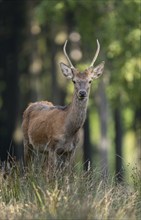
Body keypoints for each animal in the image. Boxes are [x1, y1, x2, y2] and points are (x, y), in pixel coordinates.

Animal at [21, 39, 104, 177]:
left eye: (90, 81)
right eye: (74, 81)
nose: (82, 93)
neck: (69, 131)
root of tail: (30, 104)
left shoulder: (71, 151)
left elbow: (67, 176)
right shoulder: (52, 147)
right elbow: (52, 176)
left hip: (43, 152)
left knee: (42, 170)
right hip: (26, 141)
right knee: (28, 169)